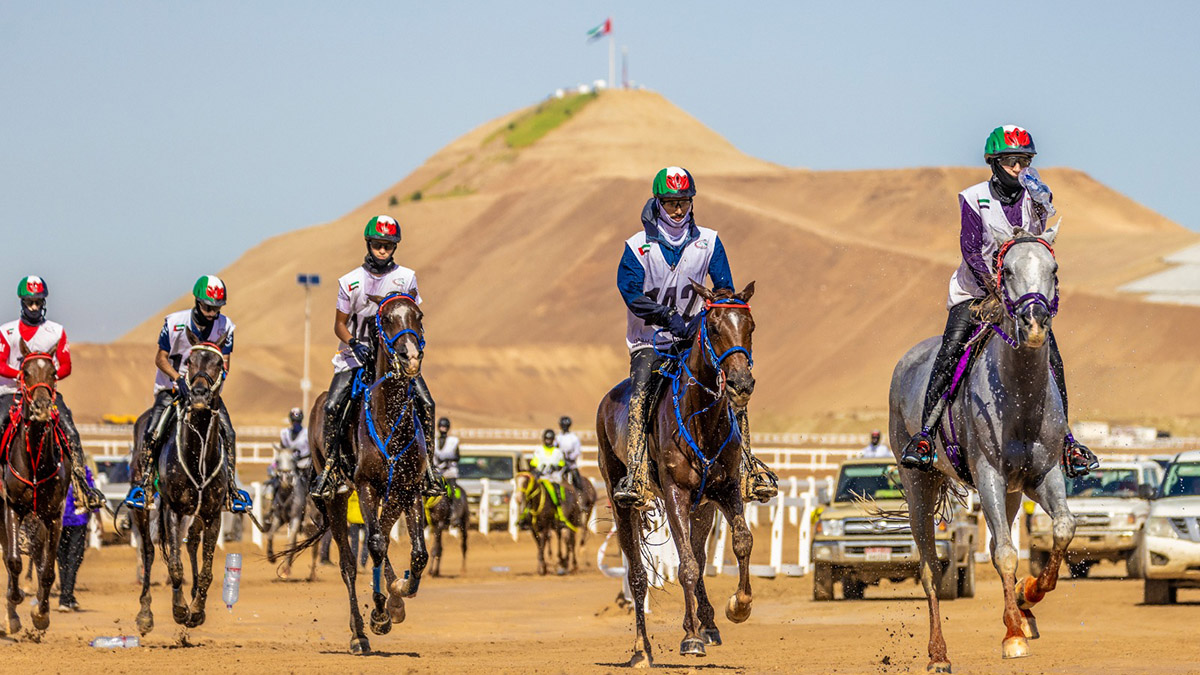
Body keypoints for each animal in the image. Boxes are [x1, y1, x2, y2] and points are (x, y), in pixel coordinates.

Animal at [133, 329, 231, 634]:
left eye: (218, 363)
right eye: (190, 360)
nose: (198, 394)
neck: (197, 453)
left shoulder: (212, 514)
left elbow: (208, 570)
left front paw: (196, 611)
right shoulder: (173, 511)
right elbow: (174, 566)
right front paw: (179, 610)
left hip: (195, 515)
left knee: (191, 544)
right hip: (143, 509)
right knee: (149, 551)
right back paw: (145, 613)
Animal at [280, 291, 432, 653]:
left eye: (418, 316)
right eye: (385, 319)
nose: (410, 357)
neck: (390, 418)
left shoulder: (409, 488)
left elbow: (417, 553)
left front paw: (399, 593)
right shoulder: (365, 486)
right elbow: (374, 546)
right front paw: (378, 613)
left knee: (383, 540)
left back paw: (393, 600)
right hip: (336, 498)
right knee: (349, 563)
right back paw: (359, 633)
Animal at [600, 278, 758, 662]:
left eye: (750, 327)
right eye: (713, 327)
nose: (741, 384)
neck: (702, 419)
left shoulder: (726, 490)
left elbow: (741, 542)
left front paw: (739, 605)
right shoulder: (675, 495)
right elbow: (685, 564)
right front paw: (690, 636)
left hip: (702, 509)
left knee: (700, 556)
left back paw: (710, 624)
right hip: (624, 506)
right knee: (638, 575)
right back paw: (641, 649)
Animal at [892, 222, 1080, 667]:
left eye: (1054, 268)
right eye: (1007, 270)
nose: (1035, 322)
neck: (1020, 396)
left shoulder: (1042, 476)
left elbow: (1062, 528)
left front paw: (1029, 597)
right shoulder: (989, 477)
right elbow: (1006, 554)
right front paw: (1012, 635)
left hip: (1010, 492)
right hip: (918, 486)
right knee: (929, 568)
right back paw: (938, 654)